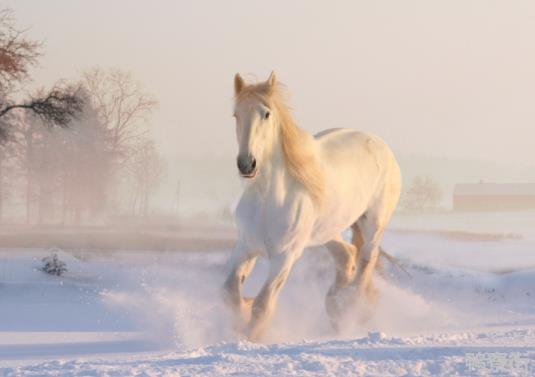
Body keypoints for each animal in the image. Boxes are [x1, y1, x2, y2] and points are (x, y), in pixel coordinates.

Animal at [223, 71, 402, 340]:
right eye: (236, 114)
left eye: (266, 113)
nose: (247, 164)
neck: (268, 200)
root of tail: (380, 144)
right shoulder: (245, 247)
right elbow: (230, 292)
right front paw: (242, 314)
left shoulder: (285, 256)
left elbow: (263, 305)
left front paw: (251, 336)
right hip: (327, 231)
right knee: (347, 255)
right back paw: (335, 306)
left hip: (373, 223)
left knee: (366, 259)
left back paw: (351, 307)